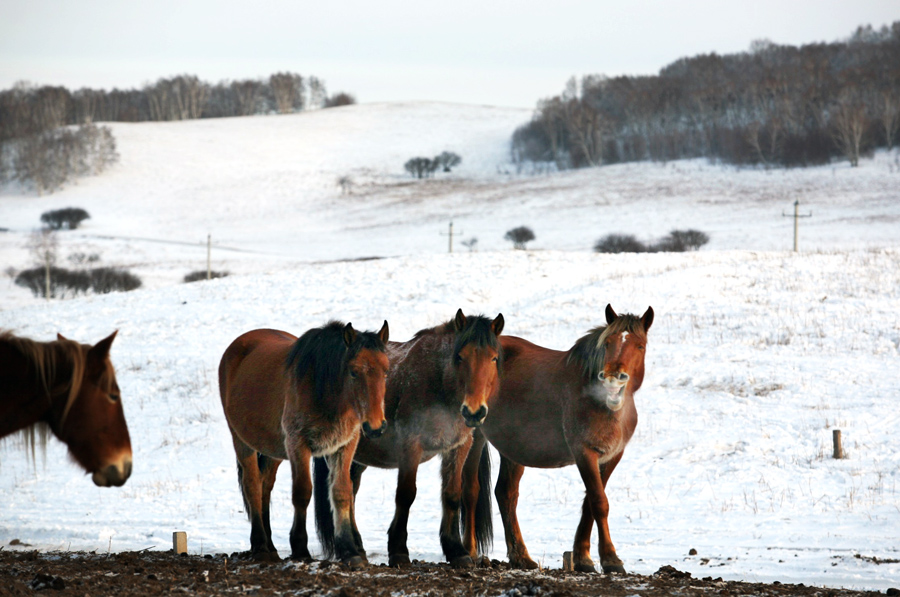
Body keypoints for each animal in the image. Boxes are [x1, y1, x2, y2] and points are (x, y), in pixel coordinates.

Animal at [221, 318, 390, 564]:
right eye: (353, 372)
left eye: (386, 372)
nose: (375, 426)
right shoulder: (298, 444)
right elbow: (302, 492)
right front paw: (300, 548)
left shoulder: (344, 446)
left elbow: (341, 492)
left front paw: (350, 551)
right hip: (241, 441)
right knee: (252, 485)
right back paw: (260, 545)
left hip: (273, 450)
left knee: (265, 487)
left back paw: (270, 546)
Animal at [312, 310, 502, 564]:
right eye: (460, 357)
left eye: (493, 358)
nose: (474, 412)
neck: (438, 383)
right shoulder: (411, 446)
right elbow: (406, 495)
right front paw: (399, 550)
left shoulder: (459, 446)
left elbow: (452, 494)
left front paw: (456, 550)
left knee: (350, 490)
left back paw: (357, 546)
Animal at [460, 304, 652, 576]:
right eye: (608, 343)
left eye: (640, 345)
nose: (613, 379)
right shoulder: (584, 453)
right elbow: (599, 502)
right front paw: (611, 559)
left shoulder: (611, 456)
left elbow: (590, 503)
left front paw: (583, 558)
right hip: (475, 437)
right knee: (471, 490)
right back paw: (471, 552)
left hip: (514, 448)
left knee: (506, 494)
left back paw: (521, 557)